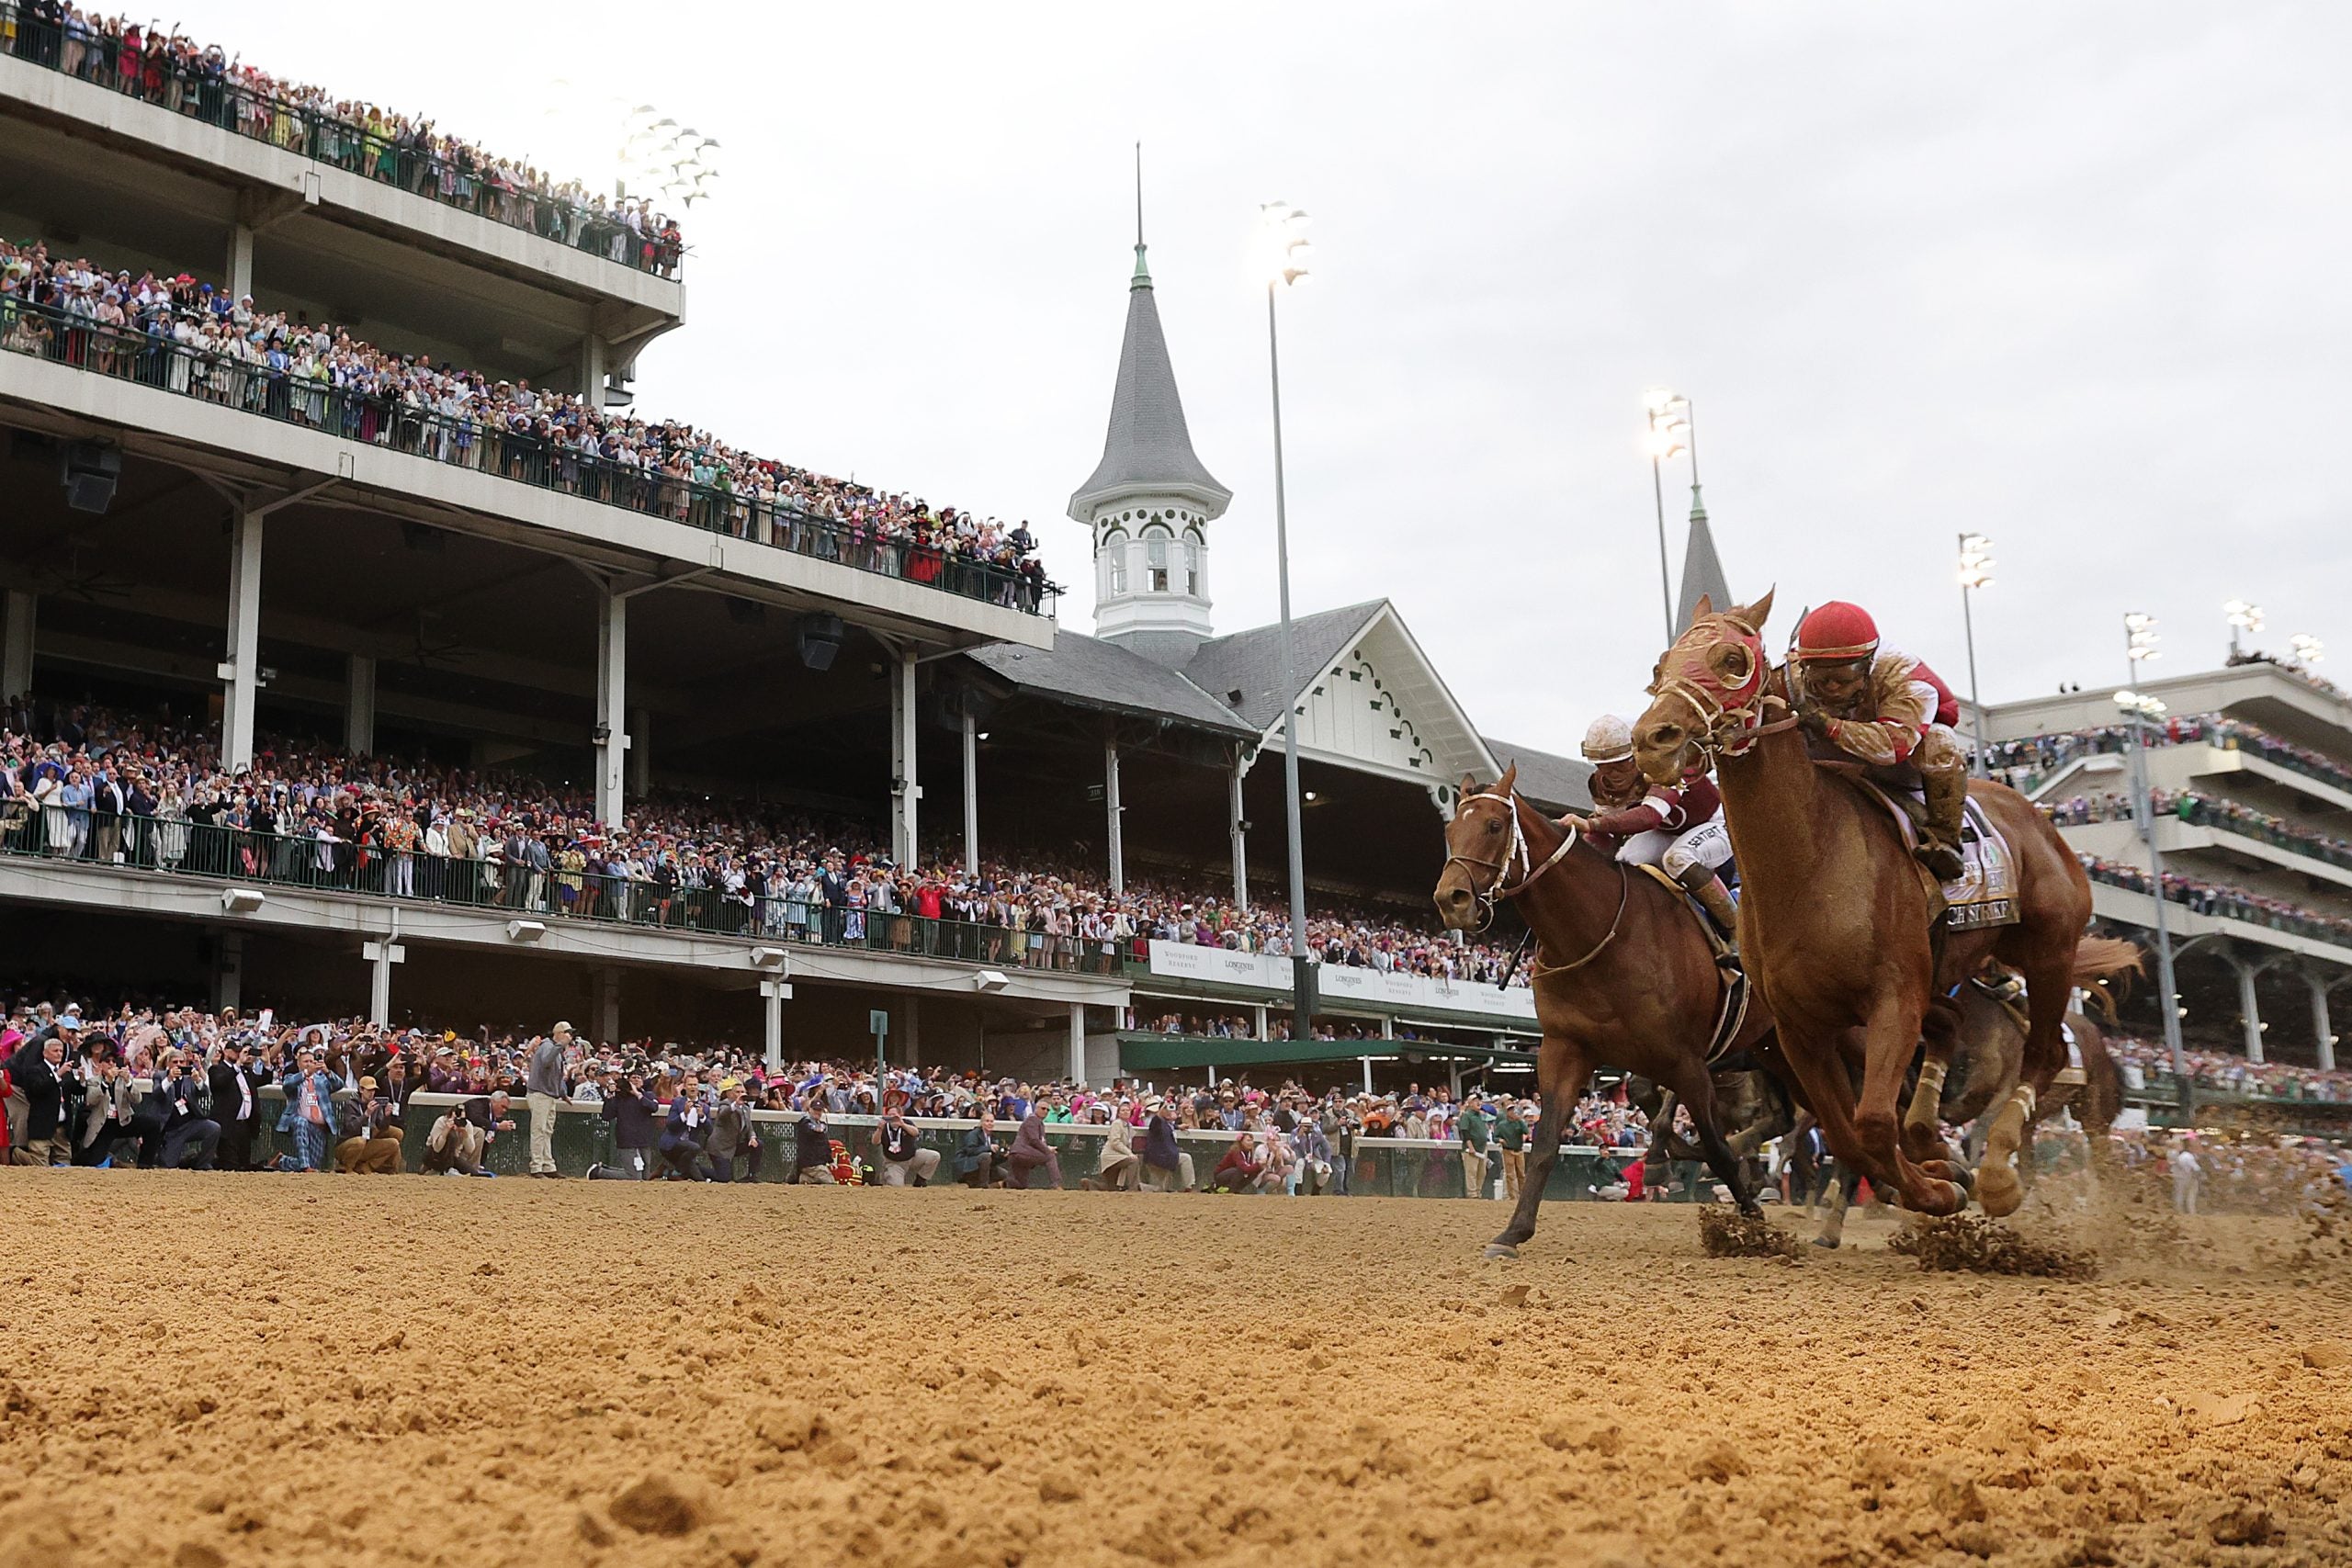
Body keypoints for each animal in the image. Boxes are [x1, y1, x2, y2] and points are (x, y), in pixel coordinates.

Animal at [1420, 761, 1769, 1259]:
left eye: (1494, 825)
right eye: (1450, 830)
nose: (1451, 900)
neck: (1601, 933)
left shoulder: (1686, 1058)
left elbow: (1718, 1146)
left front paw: (1753, 1224)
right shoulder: (1567, 1048)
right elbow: (1545, 1143)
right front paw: (1513, 1232)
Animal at [1636, 594, 2098, 1222]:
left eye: (1733, 660)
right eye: (1660, 665)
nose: (1652, 738)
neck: (1811, 866)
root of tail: (2038, 817)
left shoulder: (1893, 999)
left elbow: (1874, 1122)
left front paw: (1939, 1188)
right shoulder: (1798, 1028)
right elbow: (1846, 1131)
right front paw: (1934, 1177)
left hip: (2049, 948)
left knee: (2045, 1052)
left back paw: (1998, 1173)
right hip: (1942, 979)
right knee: (1951, 1028)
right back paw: (1936, 1148)